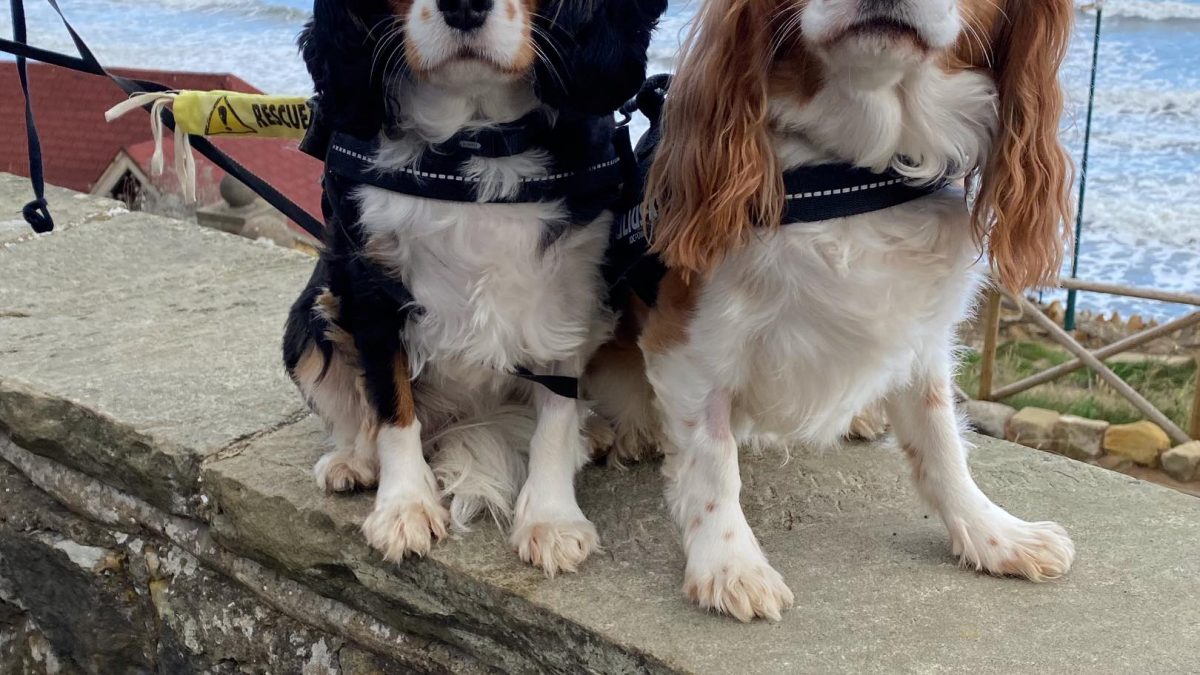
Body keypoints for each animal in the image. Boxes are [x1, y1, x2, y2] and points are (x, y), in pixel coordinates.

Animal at [282, 0, 667, 571]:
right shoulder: (368, 284)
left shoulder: (570, 292)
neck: (475, 140)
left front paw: (551, 517)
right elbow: (390, 402)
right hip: (310, 319)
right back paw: (354, 458)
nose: (463, 4)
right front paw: (404, 506)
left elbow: (555, 414)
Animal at [588, 0, 1080, 619]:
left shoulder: (920, 339)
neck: (853, 173)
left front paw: (993, 533)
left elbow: (941, 444)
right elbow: (712, 462)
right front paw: (729, 565)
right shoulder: (687, 342)